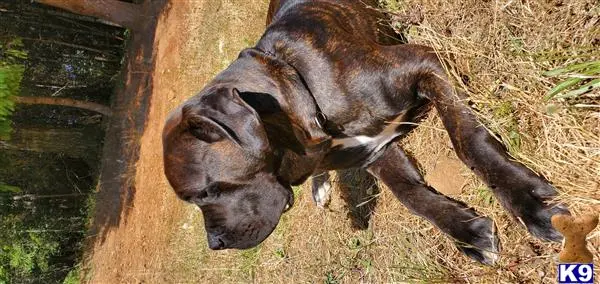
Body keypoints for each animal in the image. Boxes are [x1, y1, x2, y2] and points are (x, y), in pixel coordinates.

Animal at [163, 0, 568, 266]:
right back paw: (321, 187)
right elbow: (410, 195)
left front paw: (529, 203)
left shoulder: (425, 63)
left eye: (205, 192)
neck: (306, 92)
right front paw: (464, 232)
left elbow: (467, 140)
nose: (215, 244)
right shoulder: (376, 152)